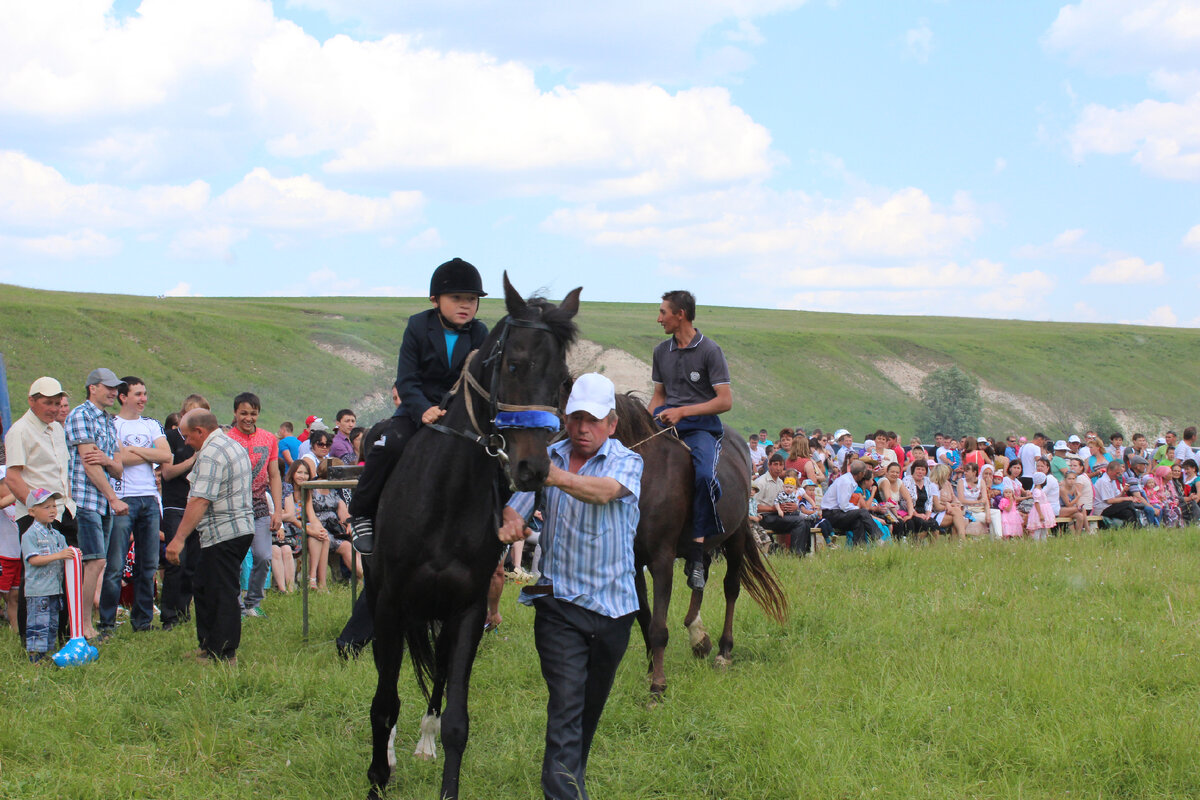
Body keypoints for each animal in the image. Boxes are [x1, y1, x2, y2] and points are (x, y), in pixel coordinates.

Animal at [364, 277, 580, 800]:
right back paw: (394, 754)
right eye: (514, 364)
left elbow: (457, 720)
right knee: (389, 679)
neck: (446, 495)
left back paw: (423, 743)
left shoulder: (466, 610)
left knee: (438, 678)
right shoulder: (391, 605)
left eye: (565, 379)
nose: (533, 469)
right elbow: (384, 703)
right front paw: (378, 777)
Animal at [614, 393, 792, 700]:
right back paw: (698, 637)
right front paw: (651, 670)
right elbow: (644, 616)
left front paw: (657, 686)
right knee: (701, 572)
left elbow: (658, 625)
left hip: (734, 536)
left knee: (730, 587)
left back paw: (723, 650)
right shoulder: (634, 560)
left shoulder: (661, 559)